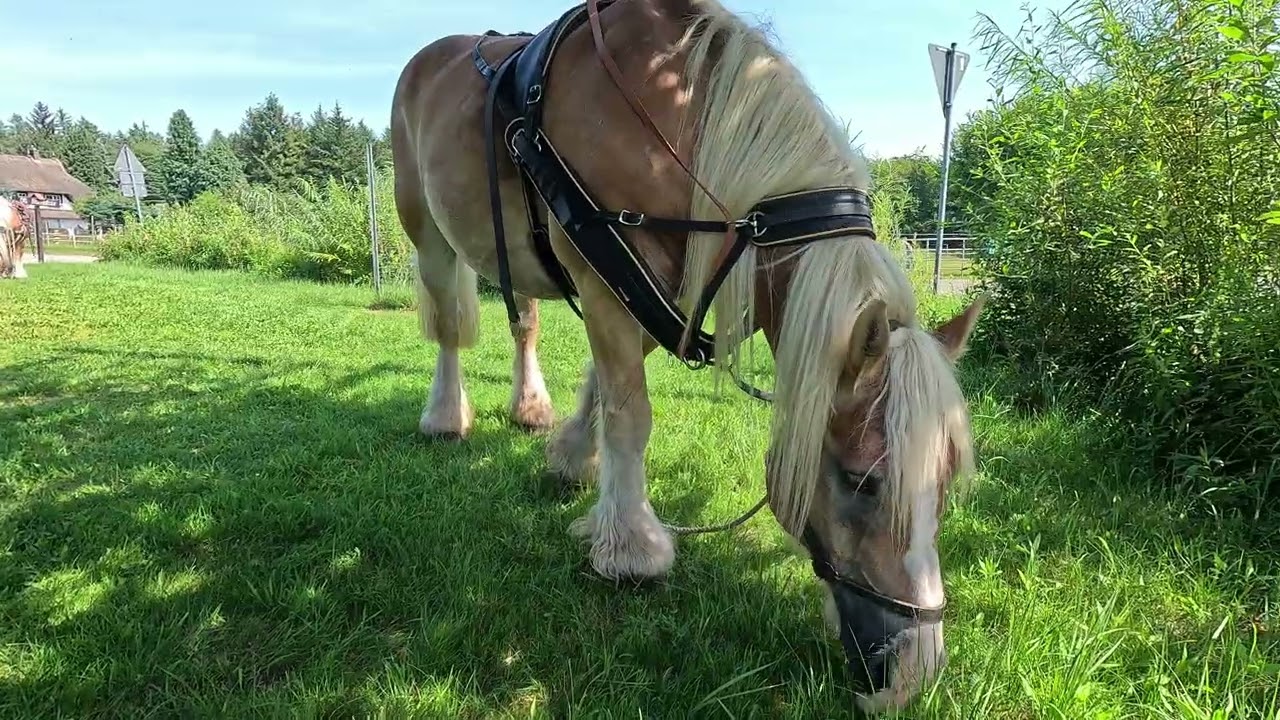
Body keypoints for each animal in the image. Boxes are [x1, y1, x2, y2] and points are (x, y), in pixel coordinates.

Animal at [390, 0, 984, 711]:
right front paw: (630, 547)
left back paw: (530, 406)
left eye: (946, 480)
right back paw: (446, 416)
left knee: (524, 320)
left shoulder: (649, 291)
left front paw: (573, 458)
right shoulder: (606, 285)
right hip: (427, 230)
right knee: (449, 326)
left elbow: (604, 386)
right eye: (862, 480)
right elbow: (630, 413)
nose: (916, 671)